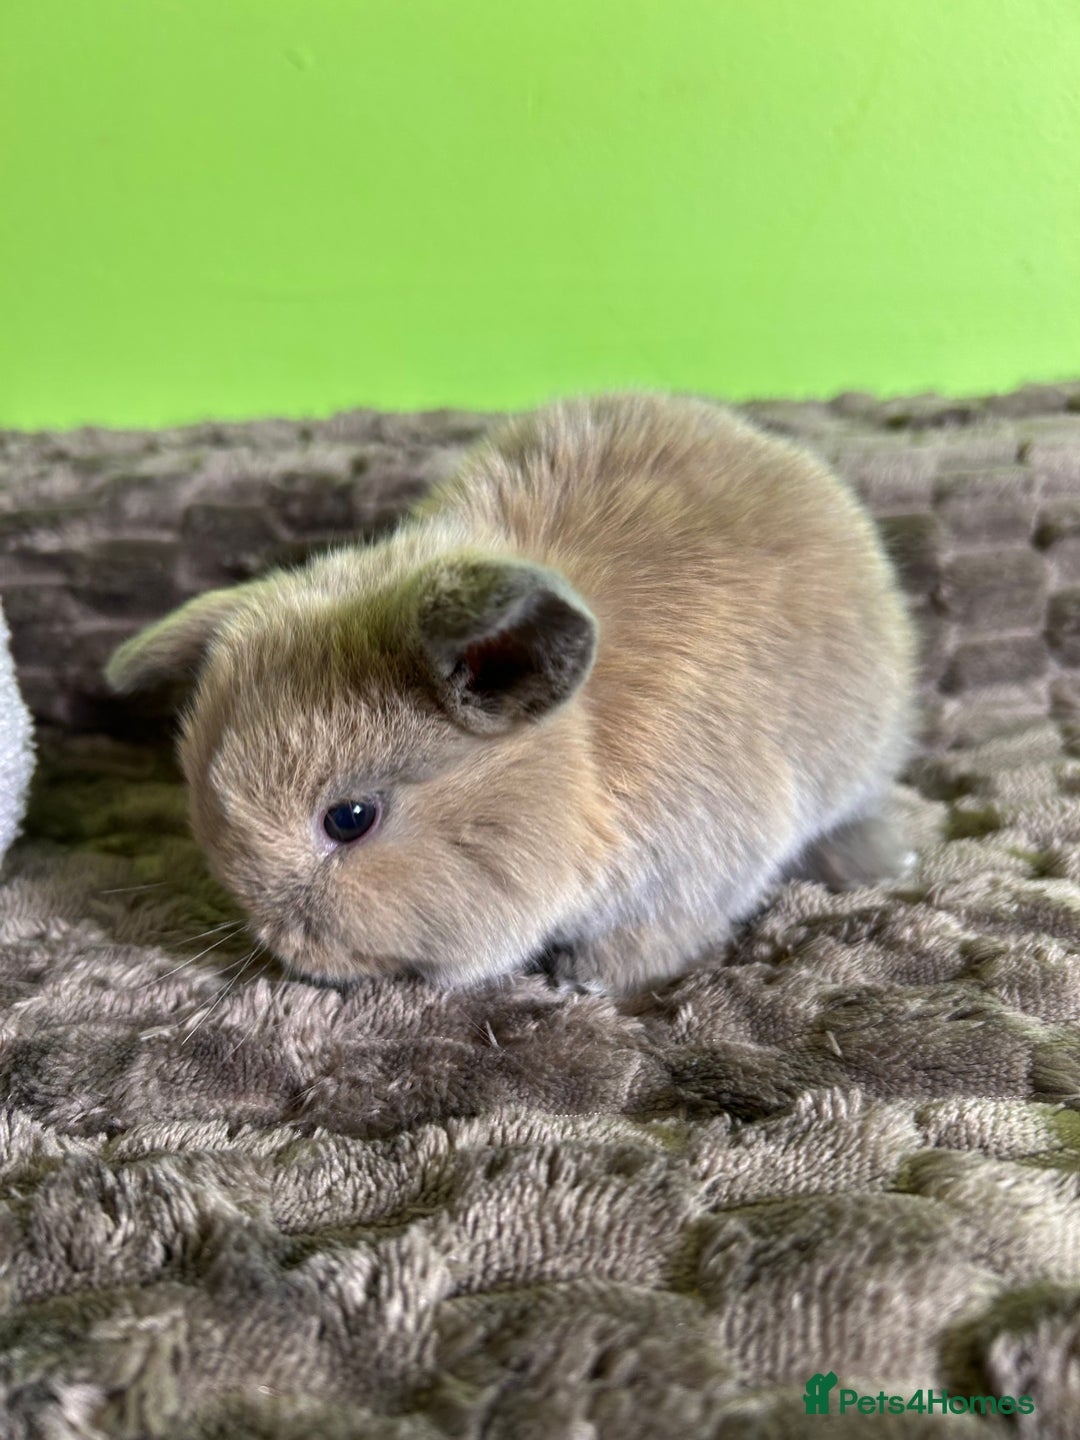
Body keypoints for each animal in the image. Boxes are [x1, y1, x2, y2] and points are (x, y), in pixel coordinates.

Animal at [105, 393, 917, 995]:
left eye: (350, 819)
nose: (286, 948)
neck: (580, 755)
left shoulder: (698, 870)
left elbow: (656, 938)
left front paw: (589, 981)